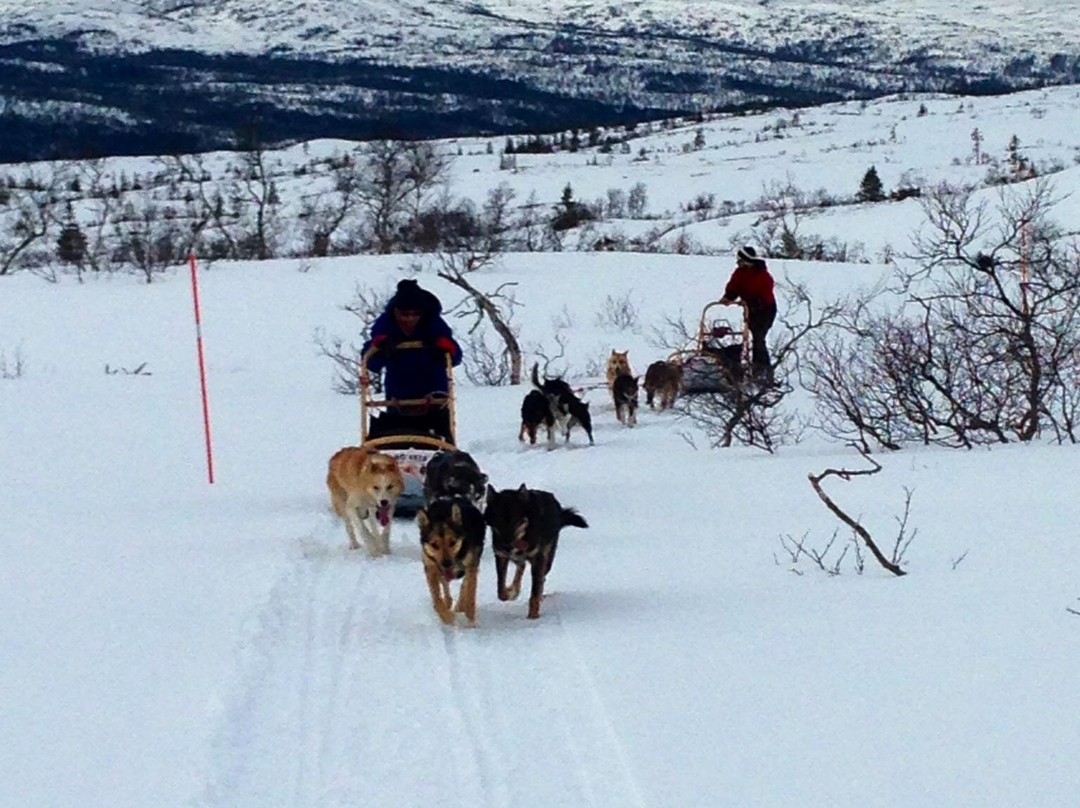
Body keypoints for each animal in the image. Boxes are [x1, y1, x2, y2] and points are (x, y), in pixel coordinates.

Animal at [483, 483, 587, 622]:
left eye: (515, 520)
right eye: (498, 521)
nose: (506, 547)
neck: (523, 535)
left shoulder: (538, 560)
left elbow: (535, 591)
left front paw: (533, 616)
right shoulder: (501, 557)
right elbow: (501, 589)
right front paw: (510, 593)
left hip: (547, 560)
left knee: (541, 578)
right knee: (522, 566)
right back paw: (515, 589)